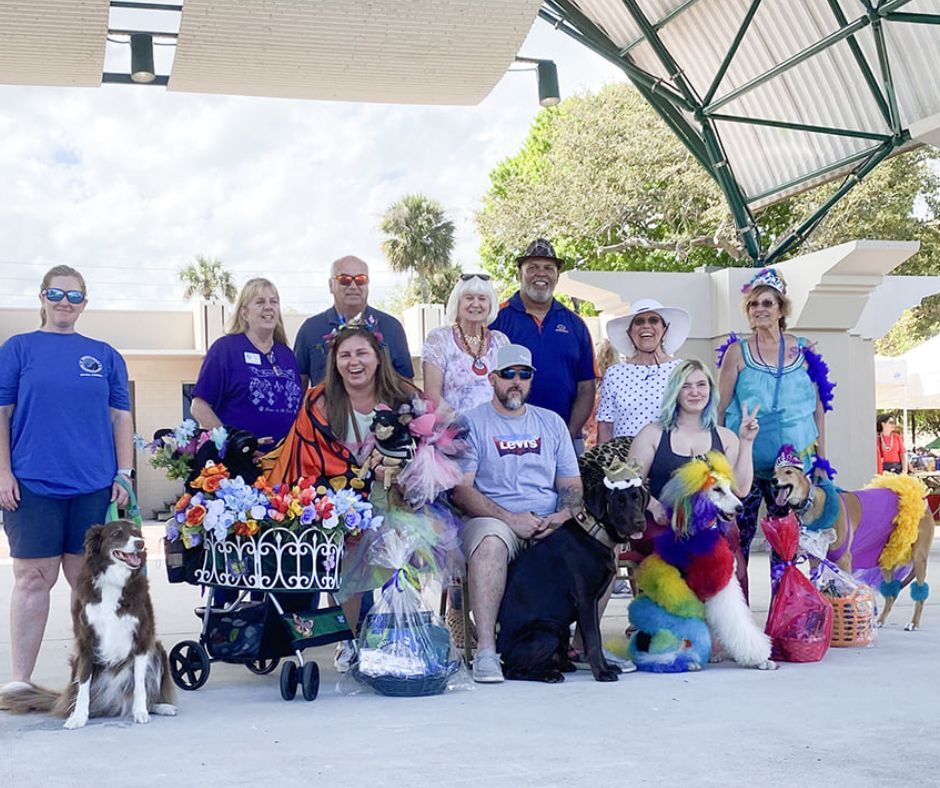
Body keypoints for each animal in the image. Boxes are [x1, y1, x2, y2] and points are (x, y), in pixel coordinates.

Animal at [496, 458, 648, 680]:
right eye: (618, 502)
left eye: (637, 498)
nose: (640, 522)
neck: (594, 533)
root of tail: (499, 653)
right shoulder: (585, 601)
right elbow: (593, 640)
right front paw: (601, 673)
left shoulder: (592, 603)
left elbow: (595, 638)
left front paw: (606, 667)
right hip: (548, 630)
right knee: (513, 670)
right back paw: (549, 675)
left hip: (560, 630)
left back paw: (561, 666)